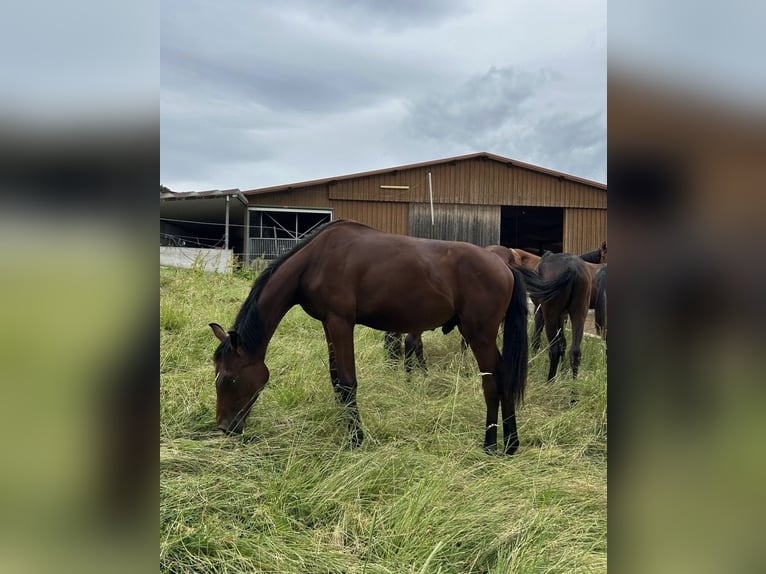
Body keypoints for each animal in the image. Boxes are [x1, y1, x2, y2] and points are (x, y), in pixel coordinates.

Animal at [209, 219, 547, 455]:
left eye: (229, 379)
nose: (225, 428)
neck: (315, 260)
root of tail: (504, 266)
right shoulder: (328, 325)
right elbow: (336, 380)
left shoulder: (341, 322)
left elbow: (347, 383)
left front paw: (356, 440)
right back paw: (509, 443)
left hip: (480, 335)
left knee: (494, 381)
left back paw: (494, 444)